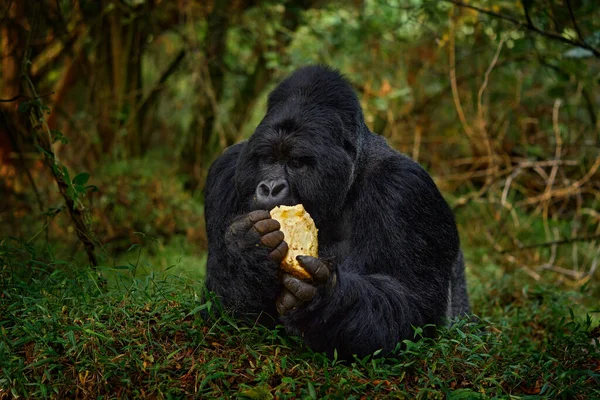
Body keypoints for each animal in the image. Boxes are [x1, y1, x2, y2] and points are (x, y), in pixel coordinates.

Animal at [204, 65, 472, 360]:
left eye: (296, 163)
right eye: (267, 159)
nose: (271, 187)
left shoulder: (406, 188)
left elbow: (413, 306)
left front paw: (324, 298)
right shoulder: (226, 171)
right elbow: (222, 312)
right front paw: (246, 248)